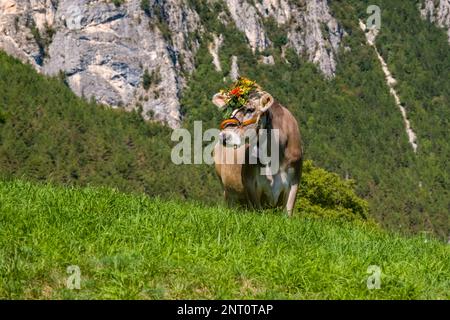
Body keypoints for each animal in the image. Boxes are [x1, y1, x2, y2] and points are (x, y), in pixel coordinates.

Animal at [213, 87, 304, 215]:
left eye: (250, 109)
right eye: (231, 113)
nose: (223, 136)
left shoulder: (294, 182)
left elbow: (288, 212)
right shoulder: (251, 183)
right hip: (227, 190)